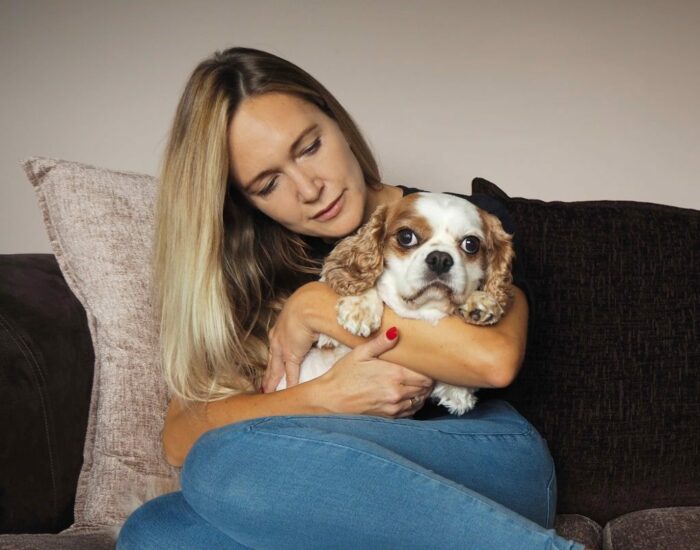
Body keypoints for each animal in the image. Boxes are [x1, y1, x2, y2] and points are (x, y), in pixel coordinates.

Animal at [278, 192, 516, 416]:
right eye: (406, 237)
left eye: (471, 244)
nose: (440, 258)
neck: (418, 311)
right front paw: (360, 307)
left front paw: (479, 302)